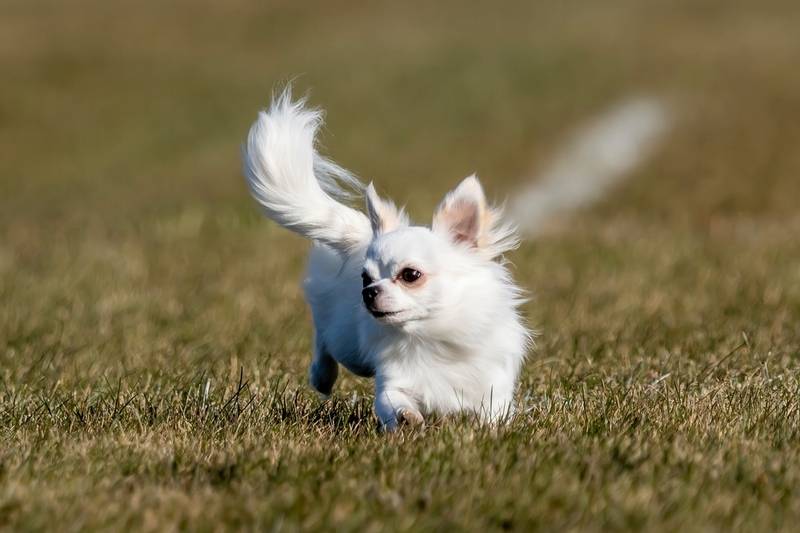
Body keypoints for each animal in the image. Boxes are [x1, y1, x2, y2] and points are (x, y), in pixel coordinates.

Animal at [244, 88, 532, 428]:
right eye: (365, 278)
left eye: (410, 275)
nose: (369, 292)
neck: (428, 335)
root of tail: (362, 234)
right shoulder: (394, 381)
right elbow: (393, 401)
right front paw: (407, 419)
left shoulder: (492, 385)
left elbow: (494, 413)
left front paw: (488, 430)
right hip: (348, 345)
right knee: (324, 340)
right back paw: (321, 376)